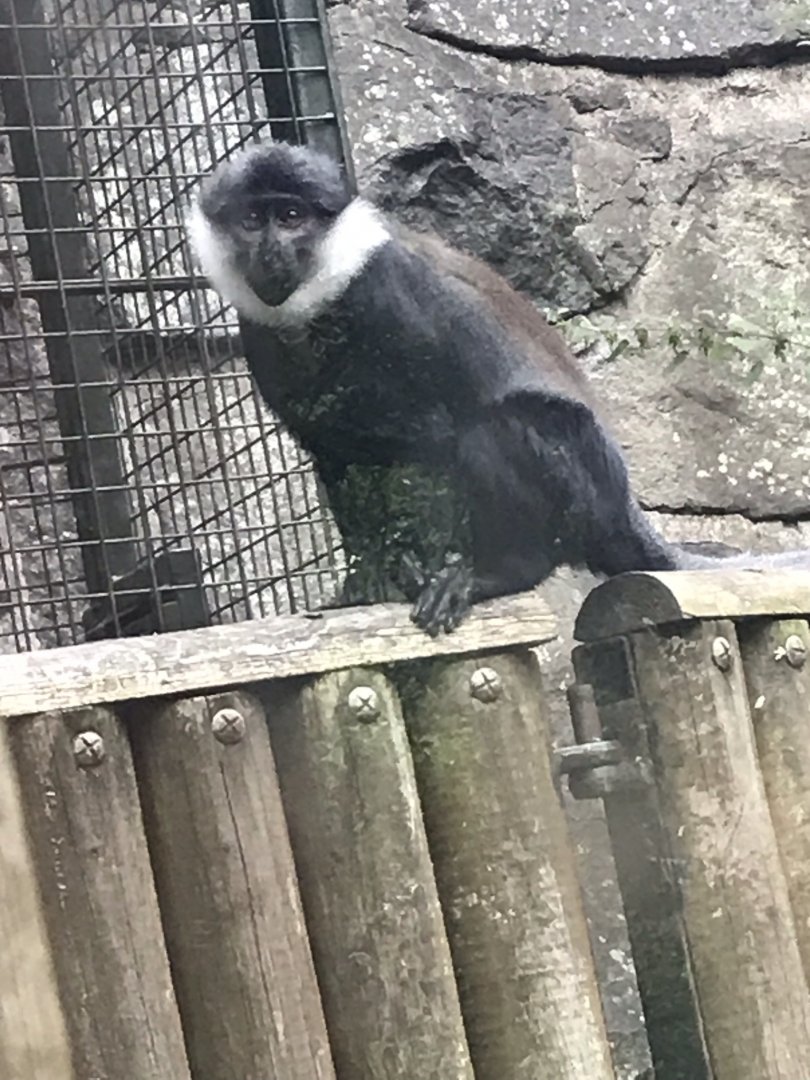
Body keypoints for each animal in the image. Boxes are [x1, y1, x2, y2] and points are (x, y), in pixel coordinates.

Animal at [186, 140, 810, 635]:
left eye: (292, 215)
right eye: (252, 219)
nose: (271, 250)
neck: (324, 298)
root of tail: (619, 509)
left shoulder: (390, 300)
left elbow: (431, 437)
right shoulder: (262, 341)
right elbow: (335, 455)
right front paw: (365, 581)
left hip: (575, 476)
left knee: (496, 427)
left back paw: (501, 571)